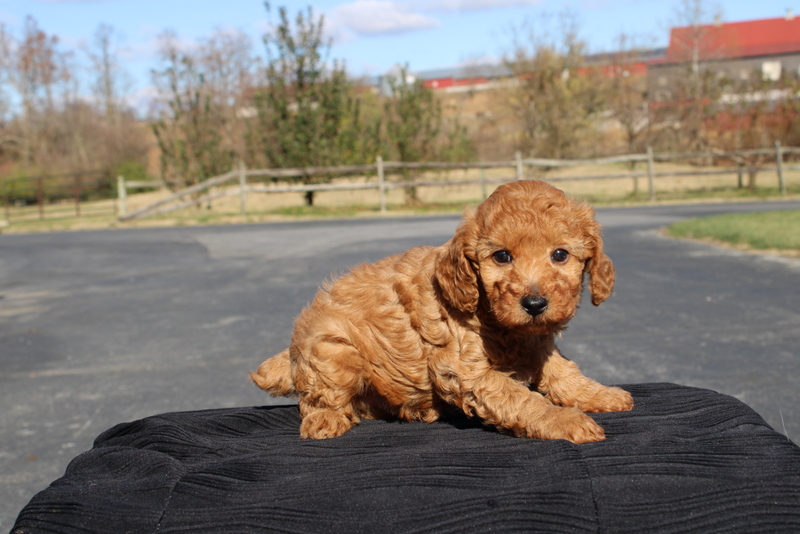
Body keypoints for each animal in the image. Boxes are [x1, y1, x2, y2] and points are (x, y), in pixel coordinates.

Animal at [253, 180, 636, 444]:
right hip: (332, 350)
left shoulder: (536, 343)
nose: (534, 304)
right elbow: (520, 397)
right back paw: (326, 421)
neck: (488, 311)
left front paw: (600, 394)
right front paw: (564, 421)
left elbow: (564, 372)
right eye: (501, 256)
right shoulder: (463, 369)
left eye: (560, 255)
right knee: (316, 400)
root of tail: (293, 351)